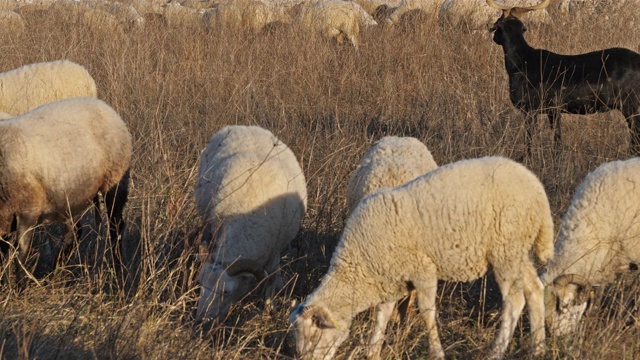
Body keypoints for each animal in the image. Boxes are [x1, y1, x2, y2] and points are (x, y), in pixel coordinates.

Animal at [0, 97, 132, 284]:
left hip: (115, 179)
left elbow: (21, 256)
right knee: (75, 232)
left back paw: (119, 269)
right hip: (72, 197)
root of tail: (103, 104)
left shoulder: (27, 212)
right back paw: (54, 272)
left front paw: (20, 286)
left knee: (115, 226)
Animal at [194, 125, 306, 322]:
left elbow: (271, 277)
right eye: (200, 284)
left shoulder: (275, 248)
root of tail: (245, 126)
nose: (201, 320)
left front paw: (269, 308)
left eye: (226, 292)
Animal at [292, 157, 556, 360]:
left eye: (314, 336)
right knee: (535, 289)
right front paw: (372, 350)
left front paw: (437, 353)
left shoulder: (423, 270)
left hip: (505, 250)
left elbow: (427, 312)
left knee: (514, 301)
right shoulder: (391, 278)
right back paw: (538, 348)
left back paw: (496, 352)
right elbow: (382, 314)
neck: (359, 268)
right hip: (518, 251)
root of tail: (537, 190)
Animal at [488, 0, 640, 158]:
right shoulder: (552, 109)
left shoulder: (533, 108)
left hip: (629, 103)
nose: (494, 37)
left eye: (497, 24)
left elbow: (534, 140)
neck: (521, 63)